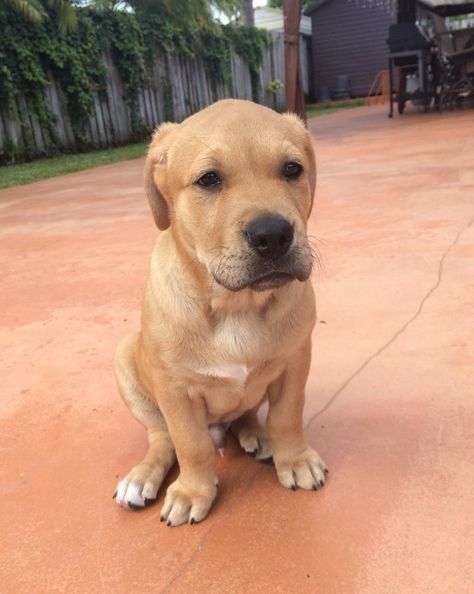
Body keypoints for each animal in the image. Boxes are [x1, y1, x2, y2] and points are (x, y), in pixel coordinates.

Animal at [113, 99, 328, 524]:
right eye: (209, 179)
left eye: (292, 169)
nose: (273, 235)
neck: (235, 306)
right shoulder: (175, 390)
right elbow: (189, 443)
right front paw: (193, 491)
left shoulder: (295, 360)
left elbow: (287, 416)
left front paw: (294, 459)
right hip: (126, 360)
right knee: (161, 438)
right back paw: (141, 478)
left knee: (246, 415)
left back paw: (257, 436)